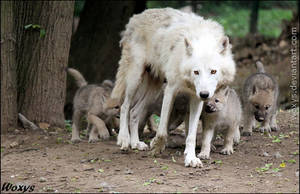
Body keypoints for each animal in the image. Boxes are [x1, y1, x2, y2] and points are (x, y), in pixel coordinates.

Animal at [109, 8, 236, 167]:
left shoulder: (195, 98)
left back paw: (136, 143)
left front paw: (191, 158)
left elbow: (191, 135)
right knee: (125, 106)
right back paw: (124, 140)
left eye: (213, 71)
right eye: (196, 72)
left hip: (154, 88)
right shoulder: (171, 90)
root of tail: (137, 16)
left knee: (134, 112)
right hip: (135, 78)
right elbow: (163, 129)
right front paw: (156, 147)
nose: (205, 94)